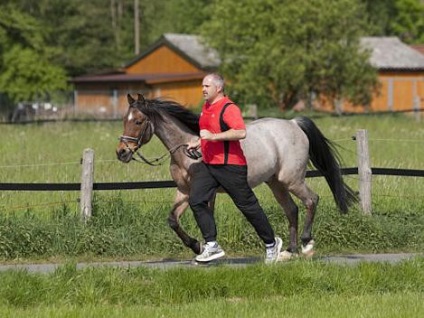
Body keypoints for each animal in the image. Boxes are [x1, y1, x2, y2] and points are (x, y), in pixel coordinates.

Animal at [116, 94, 358, 258]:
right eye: (124, 120)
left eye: (138, 121)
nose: (122, 153)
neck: (188, 151)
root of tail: (293, 123)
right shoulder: (184, 191)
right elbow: (173, 220)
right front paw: (196, 246)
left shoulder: (206, 193)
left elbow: (206, 218)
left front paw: (206, 249)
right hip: (276, 183)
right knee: (292, 209)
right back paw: (289, 251)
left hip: (292, 180)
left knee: (311, 200)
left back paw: (307, 245)